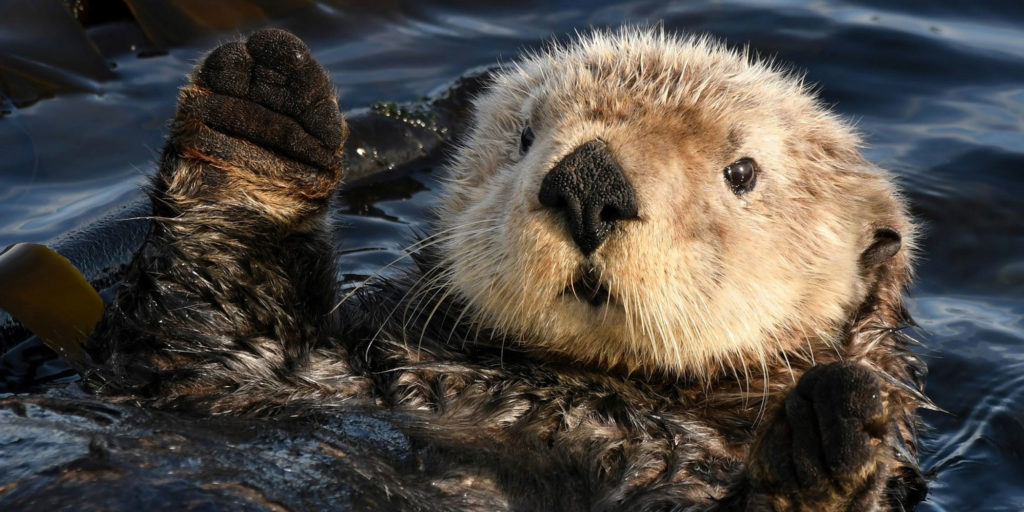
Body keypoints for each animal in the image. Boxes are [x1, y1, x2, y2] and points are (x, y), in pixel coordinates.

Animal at [81, 29, 929, 512]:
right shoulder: (280, 380)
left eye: (743, 172)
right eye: (524, 137)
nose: (588, 182)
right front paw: (262, 111)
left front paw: (826, 434)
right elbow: (204, 346)